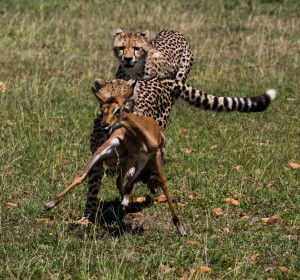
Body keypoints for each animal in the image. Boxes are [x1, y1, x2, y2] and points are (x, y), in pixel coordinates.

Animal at [82, 77, 276, 220]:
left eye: (129, 102)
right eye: (106, 103)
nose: (129, 117)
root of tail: (160, 79)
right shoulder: (97, 159)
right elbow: (92, 189)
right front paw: (87, 217)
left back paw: (151, 180)